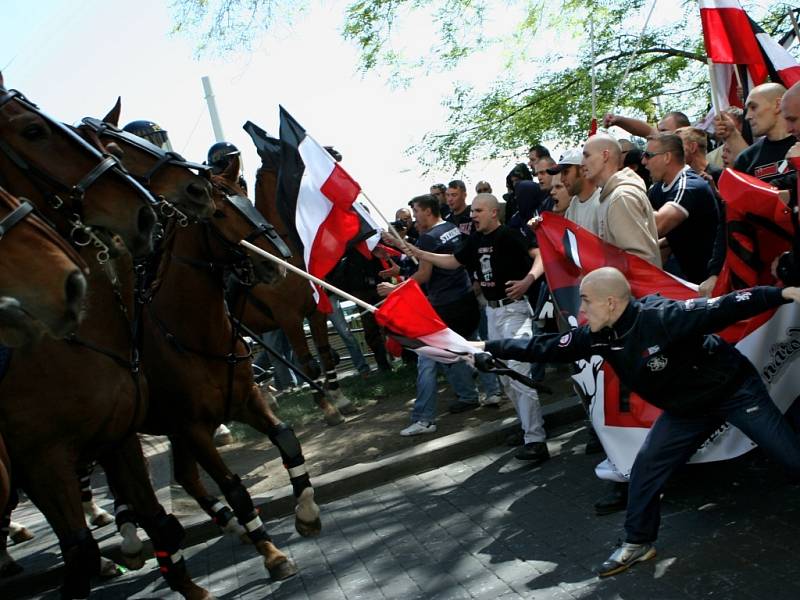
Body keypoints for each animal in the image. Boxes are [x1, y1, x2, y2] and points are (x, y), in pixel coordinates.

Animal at [0, 78, 212, 600]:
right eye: (32, 131)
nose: (199, 187)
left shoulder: (118, 435)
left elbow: (159, 520)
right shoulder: (42, 461)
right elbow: (80, 552)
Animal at [138, 158, 312, 580]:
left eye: (246, 198)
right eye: (218, 214)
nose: (278, 261)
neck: (194, 332)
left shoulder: (244, 400)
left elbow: (286, 438)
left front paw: (306, 511)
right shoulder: (193, 427)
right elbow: (233, 486)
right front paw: (272, 553)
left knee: (186, 477)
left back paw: (232, 526)